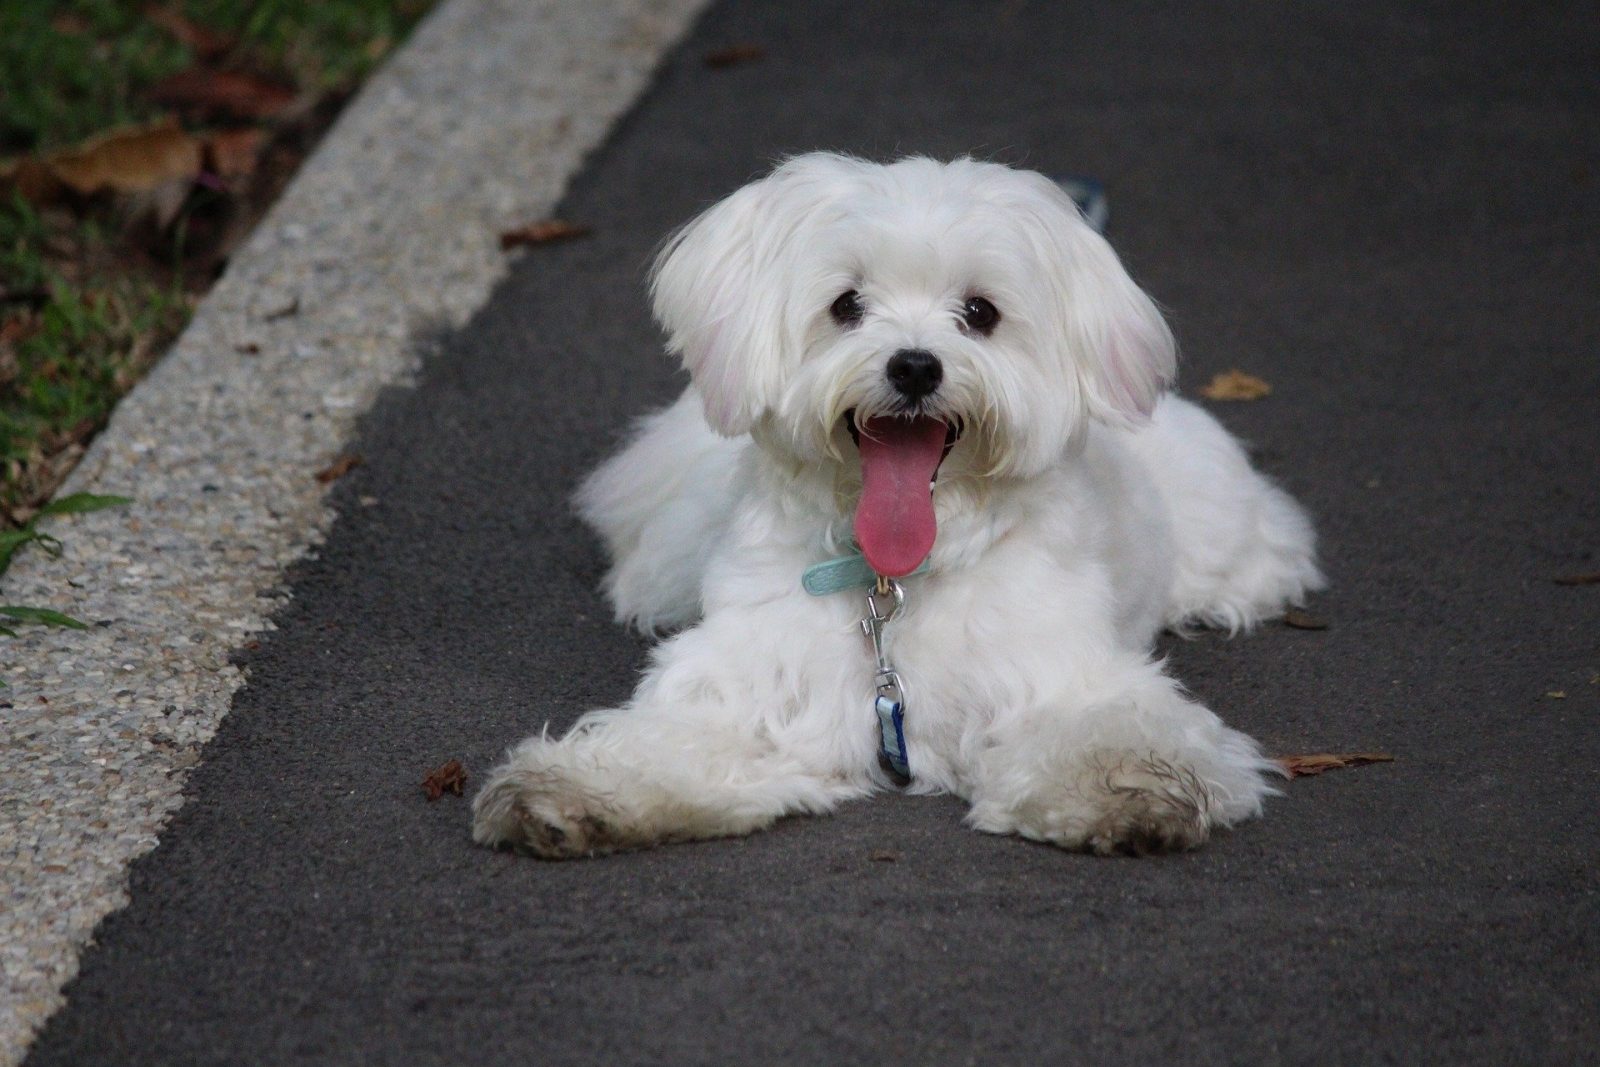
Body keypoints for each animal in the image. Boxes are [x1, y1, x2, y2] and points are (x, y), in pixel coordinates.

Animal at [473, 151, 1324, 857]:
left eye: (979, 313)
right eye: (846, 304)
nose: (915, 365)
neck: (897, 578)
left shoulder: (1054, 671)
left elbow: (1100, 730)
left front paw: (1126, 786)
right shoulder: (758, 683)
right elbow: (676, 741)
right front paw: (581, 788)